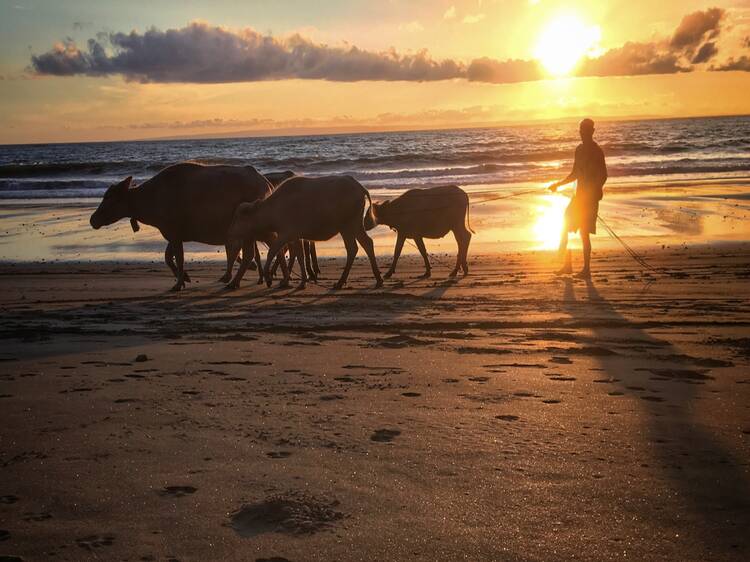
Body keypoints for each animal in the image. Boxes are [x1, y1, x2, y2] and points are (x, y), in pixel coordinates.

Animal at [90, 161, 282, 288]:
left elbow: (179, 258)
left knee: (252, 254)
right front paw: (185, 278)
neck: (152, 197)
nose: (93, 219)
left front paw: (179, 283)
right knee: (255, 253)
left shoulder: (174, 235)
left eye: (109, 197)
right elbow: (168, 258)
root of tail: (265, 182)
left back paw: (235, 281)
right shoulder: (172, 234)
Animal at [228, 175, 382, 288]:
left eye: (237, 217)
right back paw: (369, 280)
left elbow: (272, 251)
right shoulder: (296, 237)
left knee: (357, 247)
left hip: (349, 226)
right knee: (362, 245)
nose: (230, 232)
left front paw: (269, 277)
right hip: (351, 227)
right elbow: (300, 256)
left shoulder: (285, 235)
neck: (274, 208)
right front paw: (301, 281)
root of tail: (358, 186)